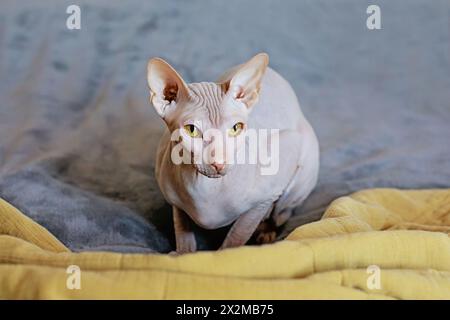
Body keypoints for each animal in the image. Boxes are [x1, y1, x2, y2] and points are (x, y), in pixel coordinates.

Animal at [146, 53, 318, 254]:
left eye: (236, 128)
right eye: (191, 130)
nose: (219, 163)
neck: (206, 188)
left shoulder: (275, 176)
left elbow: (238, 234)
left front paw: (225, 254)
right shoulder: (174, 200)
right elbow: (181, 225)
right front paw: (183, 252)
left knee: (283, 211)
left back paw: (266, 231)